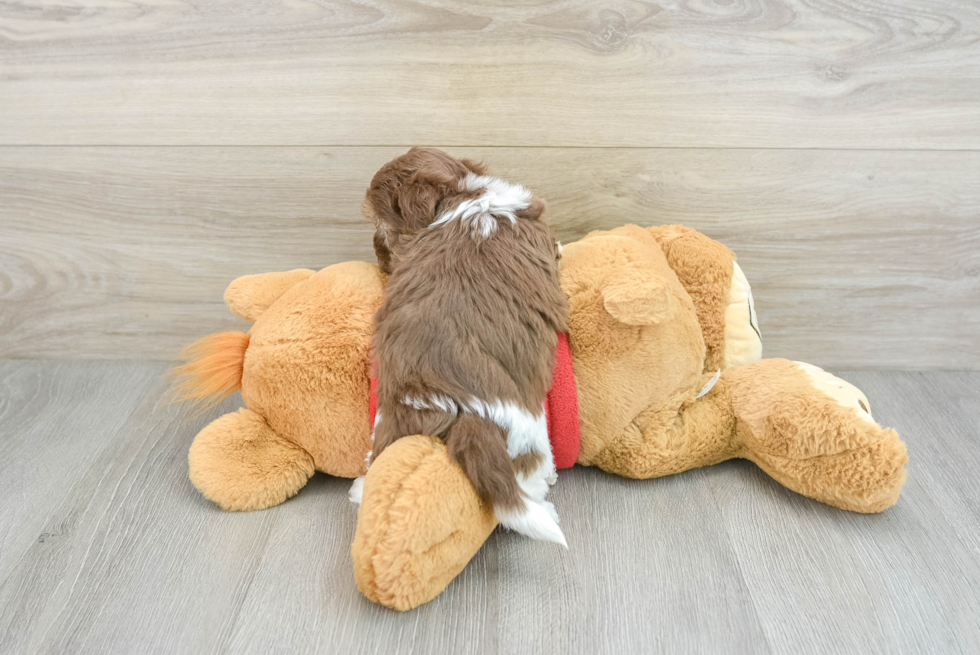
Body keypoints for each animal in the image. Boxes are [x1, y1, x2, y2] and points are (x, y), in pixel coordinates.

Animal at [350, 147, 568, 544]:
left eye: (381, 226)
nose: (377, 255)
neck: (462, 195)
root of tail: (450, 402)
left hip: (387, 427)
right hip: (529, 434)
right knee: (529, 478)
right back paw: (546, 497)